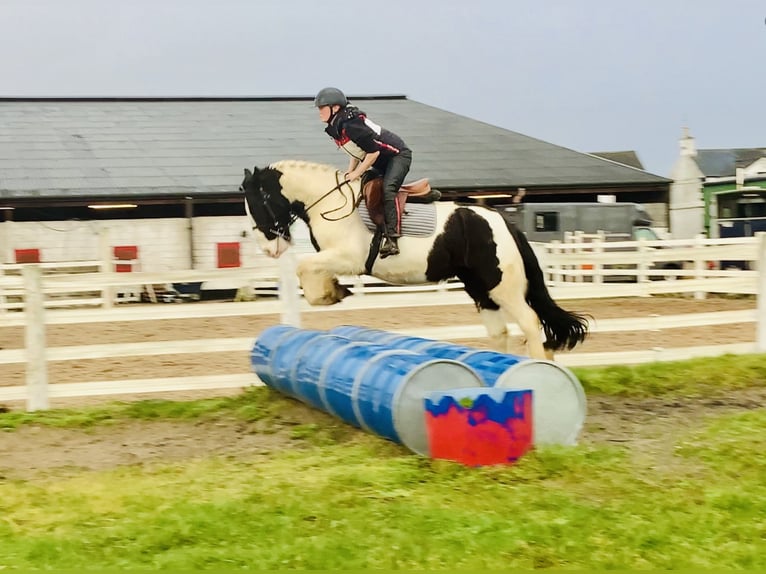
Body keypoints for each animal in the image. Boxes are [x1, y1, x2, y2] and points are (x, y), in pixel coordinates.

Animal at [240, 160, 588, 360]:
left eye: (256, 202)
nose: (269, 250)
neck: (329, 202)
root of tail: (505, 222)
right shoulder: (332, 258)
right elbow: (311, 271)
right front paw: (334, 290)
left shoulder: (349, 257)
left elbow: (305, 268)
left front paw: (330, 293)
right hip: (481, 290)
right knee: (499, 332)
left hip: (503, 287)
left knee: (530, 322)